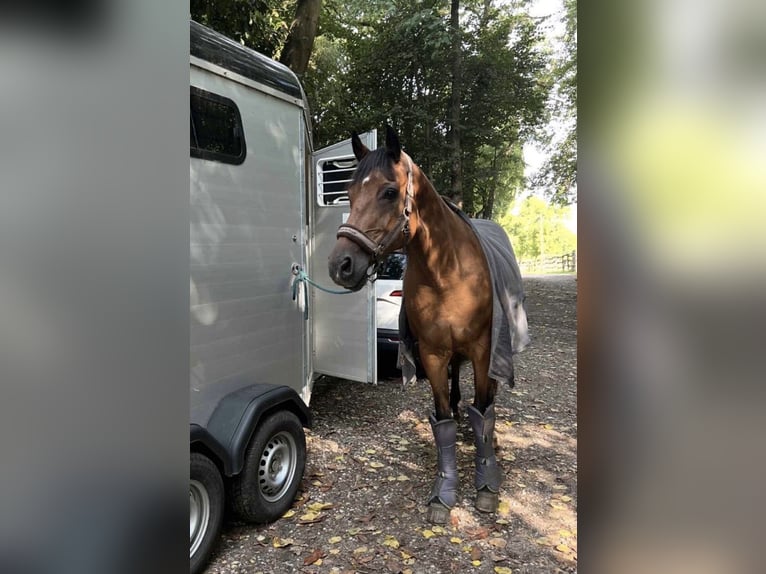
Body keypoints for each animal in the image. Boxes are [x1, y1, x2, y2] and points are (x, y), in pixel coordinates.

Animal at [328, 126, 529, 524]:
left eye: (389, 192)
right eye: (351, 193)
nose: (340, 265)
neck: (448, 271)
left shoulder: (483, 351)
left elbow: (484, 410)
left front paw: (486, 487)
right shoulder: (433, 354)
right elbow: (443, 417)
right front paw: (443, 493)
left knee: (491, 396)